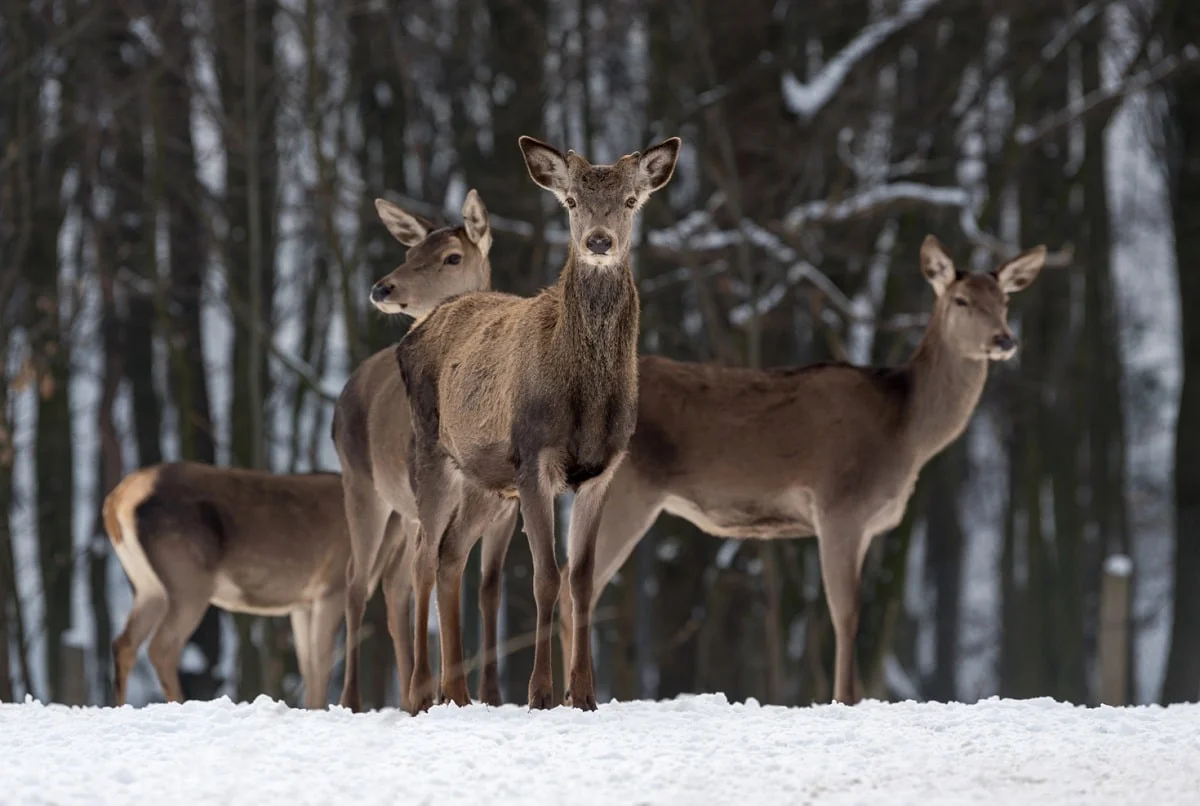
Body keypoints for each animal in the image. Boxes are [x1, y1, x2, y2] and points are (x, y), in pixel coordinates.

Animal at [104, 462, 360, 710]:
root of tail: (117, 502)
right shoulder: (333, 584)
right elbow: (323, 663)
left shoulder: (302, 602)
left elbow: (308, 665)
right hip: (188, 576)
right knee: (162, 647)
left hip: (148, 585)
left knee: (124, 643)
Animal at [333, 184, 516, 710]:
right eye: (409, 254)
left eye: (452, 257)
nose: (383, 288)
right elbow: (434, 572)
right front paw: (437, 688)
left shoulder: (506, 509)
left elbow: (488, 587)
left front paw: (491, 693)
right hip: (363, 486)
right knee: (358, 581)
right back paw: (357, 697)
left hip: (403, 511)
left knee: (394, 583)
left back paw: (410, 689)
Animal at [398, 136, 681, 710]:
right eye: (571, 201)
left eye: (631, 201)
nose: (599, 241)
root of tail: (413, 332)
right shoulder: (534, 459)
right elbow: (546, 578)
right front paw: (541, 693)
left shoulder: (602, 471)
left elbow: (582, 580)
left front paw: (585, 694)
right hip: (431, 450)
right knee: (421, 557)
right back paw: (420, 694)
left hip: (486, 480)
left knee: (450, 555)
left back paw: (459, 693)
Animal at [554, 235, 1051, 705]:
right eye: (961, 300)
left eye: (1005, 301)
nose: (1004, 340)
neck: (906, 434)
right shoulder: (840, 506)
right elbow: (847, 614)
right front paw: (845, 698)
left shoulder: (865, 524)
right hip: (627, 492)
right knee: (573, 584)